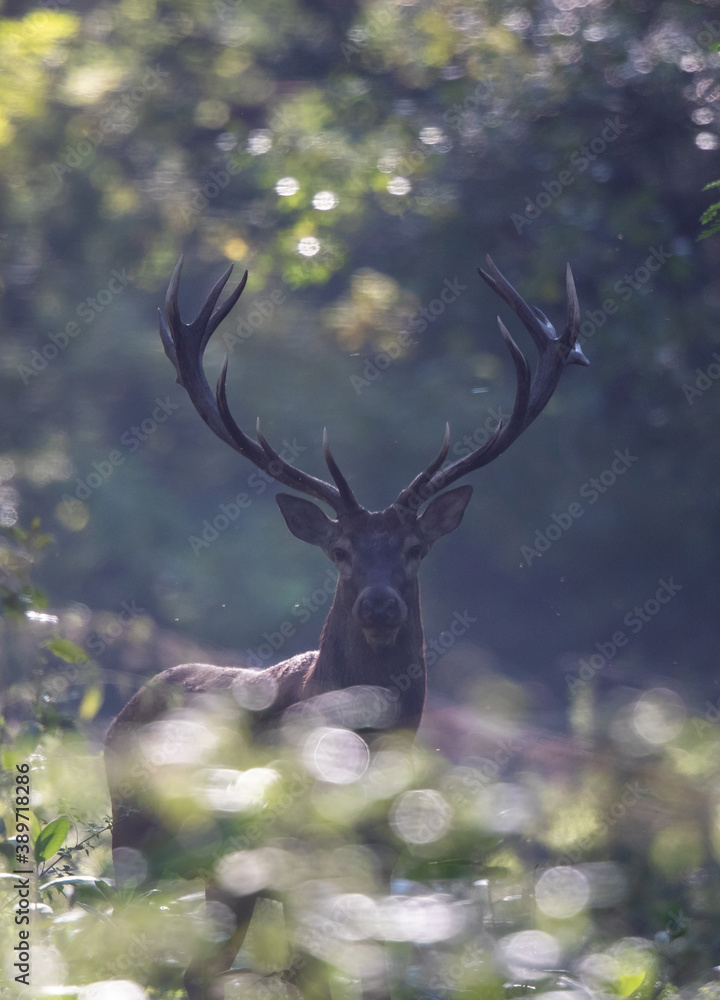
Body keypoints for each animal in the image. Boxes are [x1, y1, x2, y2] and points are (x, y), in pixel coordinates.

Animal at [104, 254, 588, 1000]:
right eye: (340, 550)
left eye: (415, 549)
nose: (380, 605)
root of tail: (129, 704)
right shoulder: (267, 861)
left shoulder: (378, 869)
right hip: (138, 838)